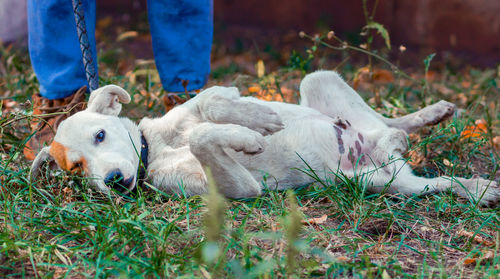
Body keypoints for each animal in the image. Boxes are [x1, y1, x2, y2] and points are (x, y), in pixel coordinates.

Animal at [30, 71, 500, 207]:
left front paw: (254, 124)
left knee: (386, 120)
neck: (157, 148)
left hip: (319, 80)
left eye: (101, 134)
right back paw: (479, 188)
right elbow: (204, 138)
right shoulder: (240, 189)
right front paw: (245, 139)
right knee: (438, 183)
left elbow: (212, 106)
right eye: (76, 169)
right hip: (383, 182)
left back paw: (428, 115)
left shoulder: (211, 99)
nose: (110, 182)